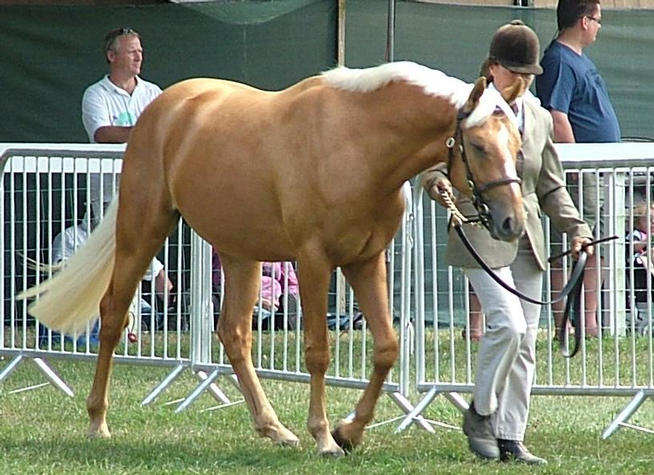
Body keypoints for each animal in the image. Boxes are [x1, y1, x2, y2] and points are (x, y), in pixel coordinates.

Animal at [21, 61, 528, 456]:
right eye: (478, 145)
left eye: (518, 147)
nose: (512, 223)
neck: (357, 142)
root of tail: (165, 108)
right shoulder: (315, 261)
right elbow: (318, 351)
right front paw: (324, 436)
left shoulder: (366, 261)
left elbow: (386, 347)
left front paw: (350, 432)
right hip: (142, 230)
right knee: (112, 315)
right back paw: (97, 421)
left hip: (238, 253)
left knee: (234, 333)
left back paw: (273, 428)